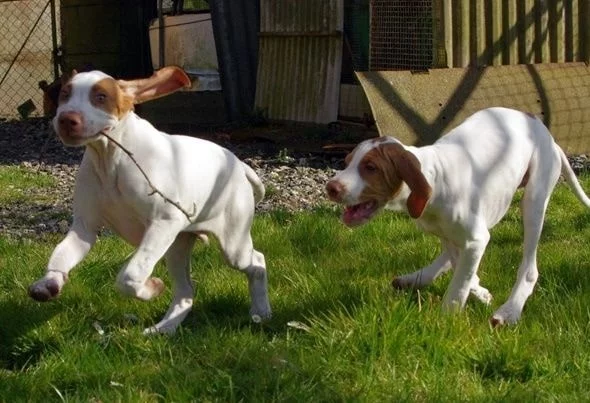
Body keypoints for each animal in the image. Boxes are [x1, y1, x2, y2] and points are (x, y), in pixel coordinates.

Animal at [28, 66, 272, 334]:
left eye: (101, 97)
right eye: (64, 94)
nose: (66, 119)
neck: (110, 159)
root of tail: (239, 165)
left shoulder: (163, 223)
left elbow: (129, 276)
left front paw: (152, 287)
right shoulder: (85, 228)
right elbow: (60, 255)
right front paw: (49, 283)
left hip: (232, 244)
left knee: (256, 262)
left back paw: (261, 311)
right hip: (177, 247)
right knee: (185, 293)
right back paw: (163, 329)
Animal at [328, 108, 590, 328]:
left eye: (370, 167)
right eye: (347, 163)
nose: (330, 188)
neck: (435, 176)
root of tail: (539, 125)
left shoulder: (476, 238)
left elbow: (458, 286)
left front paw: (446, 320)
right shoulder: (451, 234)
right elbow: (460, 267)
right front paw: (480, 291)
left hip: (533, 201)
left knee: (529, 269)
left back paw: (509, 311)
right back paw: (419, 278)